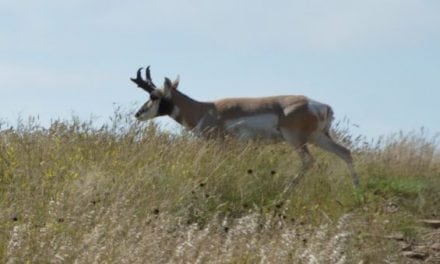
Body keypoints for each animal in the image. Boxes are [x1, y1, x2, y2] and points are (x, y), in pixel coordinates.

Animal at [130, 66, 358, 186]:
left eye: (154, 95)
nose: (138, 114)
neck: (205, 108)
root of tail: (318, 105)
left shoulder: (220, 144)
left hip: (296, 140)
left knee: (308, 161)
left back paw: (287, 190)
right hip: (318, 138)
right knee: (345, 153)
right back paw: (358, 190)